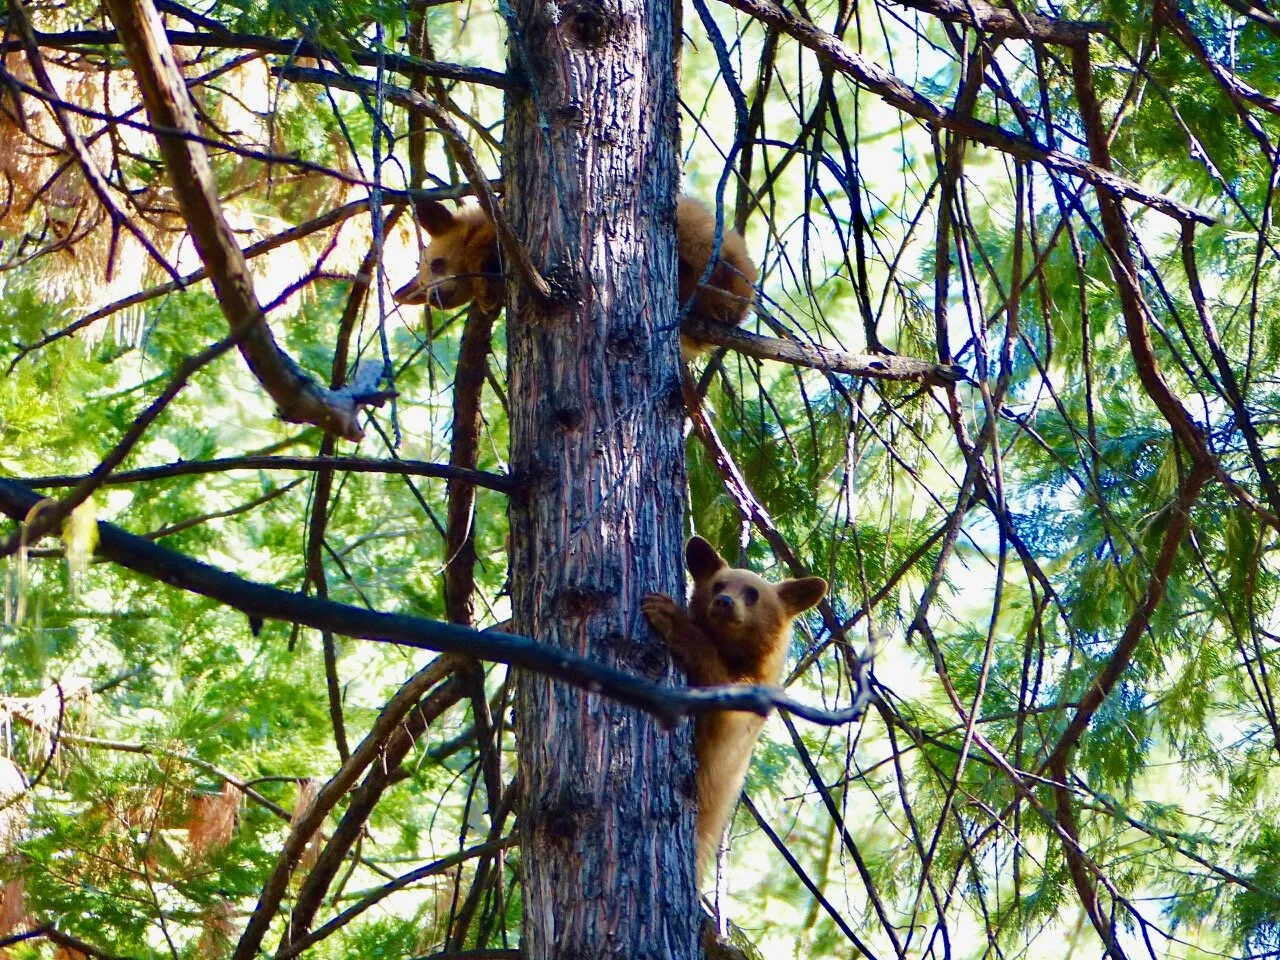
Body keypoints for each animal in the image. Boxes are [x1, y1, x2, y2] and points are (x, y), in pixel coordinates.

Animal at [393, 195, 757, 355]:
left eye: (437, 263)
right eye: (421, 286)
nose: (434, 297)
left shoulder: (495, 228)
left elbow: (486, 248)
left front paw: (485, 289)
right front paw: (488, 296)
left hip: (701, 233)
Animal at [642, 536, 827, 881]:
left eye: (753, 593)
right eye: (718, 585)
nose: (724, 602)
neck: (734, 652)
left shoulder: (745, 705)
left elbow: (718, 690)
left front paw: (670, 616)